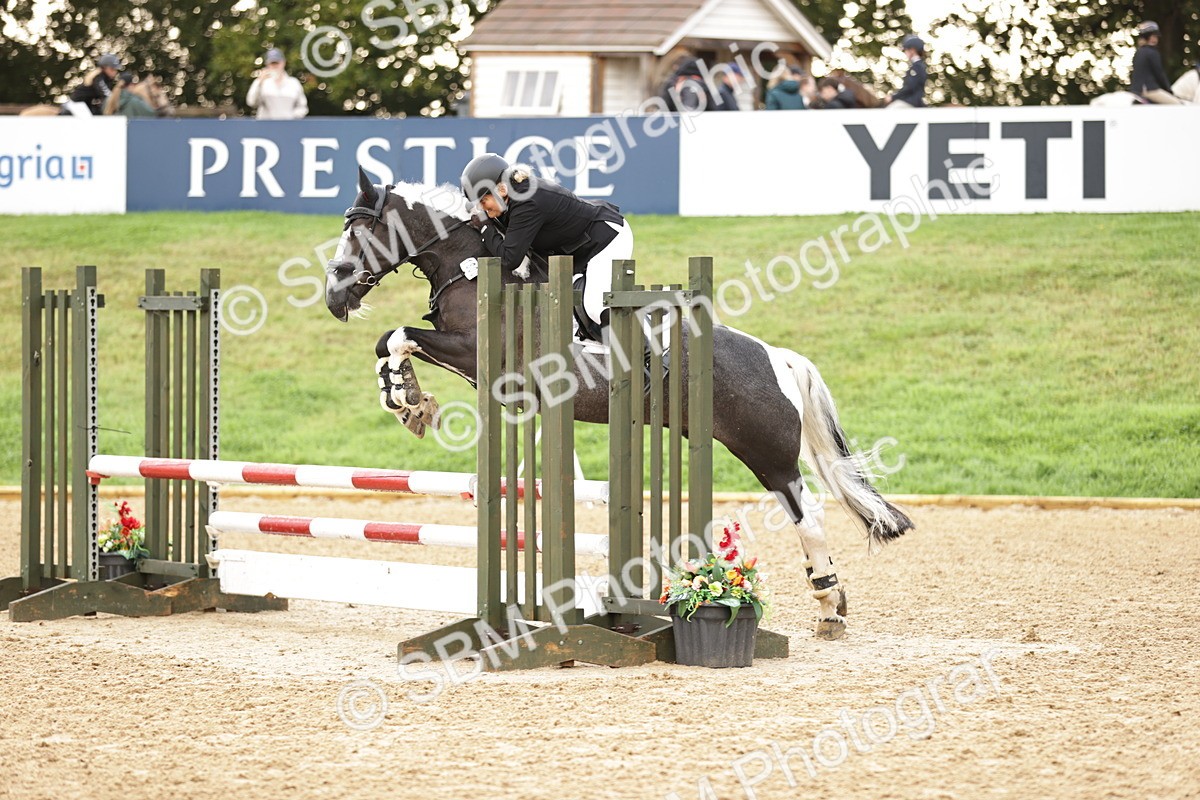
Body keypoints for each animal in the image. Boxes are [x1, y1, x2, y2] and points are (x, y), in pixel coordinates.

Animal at [324, 168, 914, 639]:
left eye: (359, 231)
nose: (333, 297)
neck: (473, 267)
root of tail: (778, 357)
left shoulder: (475, 351)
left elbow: (397, 334)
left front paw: (407, 399)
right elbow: (389, 342)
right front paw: (408, 398)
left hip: (766, 450)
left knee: (807, 514)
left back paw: (829, 604)